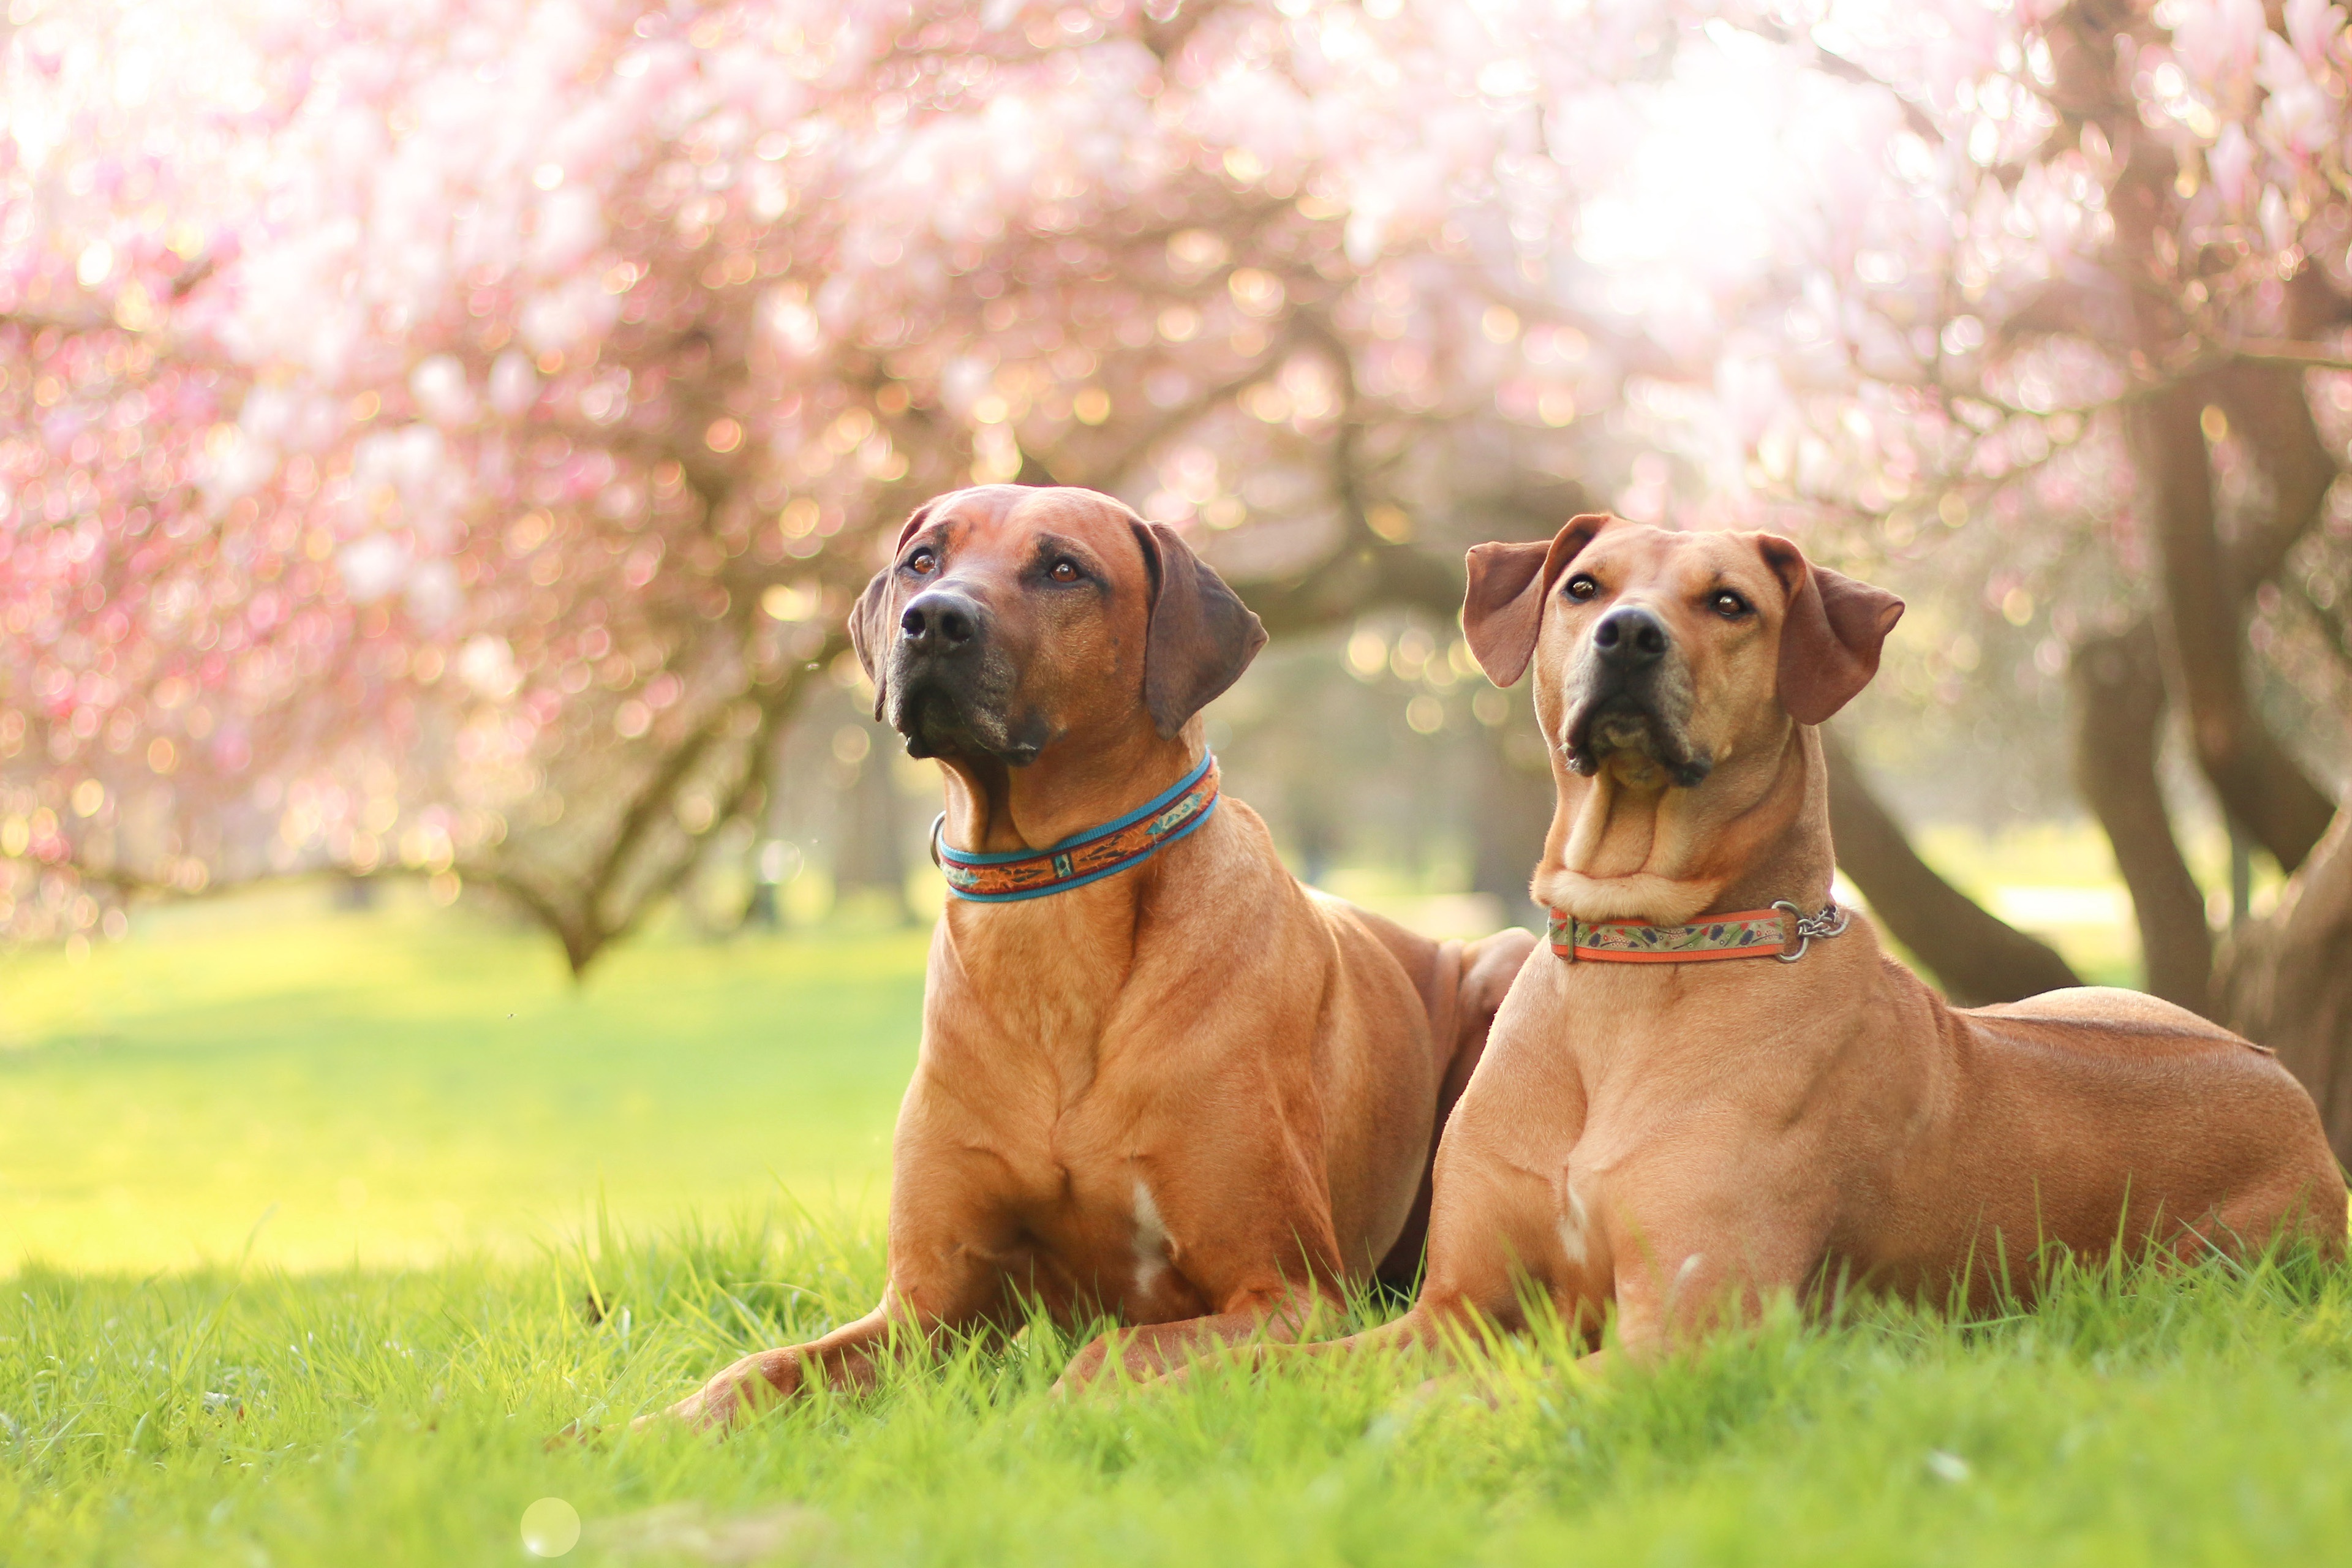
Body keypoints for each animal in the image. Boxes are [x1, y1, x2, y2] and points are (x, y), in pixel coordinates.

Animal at [663, 484, 1533, 1429]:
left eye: (1063, 570)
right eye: (922, 561)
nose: (933, 621)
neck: (1049, 910)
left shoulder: (1291, 1293)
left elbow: (1117, 1350)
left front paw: (1039, 1423)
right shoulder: (926, 1310)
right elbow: (766, 1367)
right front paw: (648, 1427)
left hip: (1507, 965)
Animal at [1261, 517, 2342, 1373]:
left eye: (1729, 602)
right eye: (1584, 587)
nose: (1629, 634)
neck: (1642, 950)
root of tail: (2293, 1089)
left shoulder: (1689, 1331)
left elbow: (1471, 1399)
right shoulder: (1454, 1305)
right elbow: (1298, 1369)